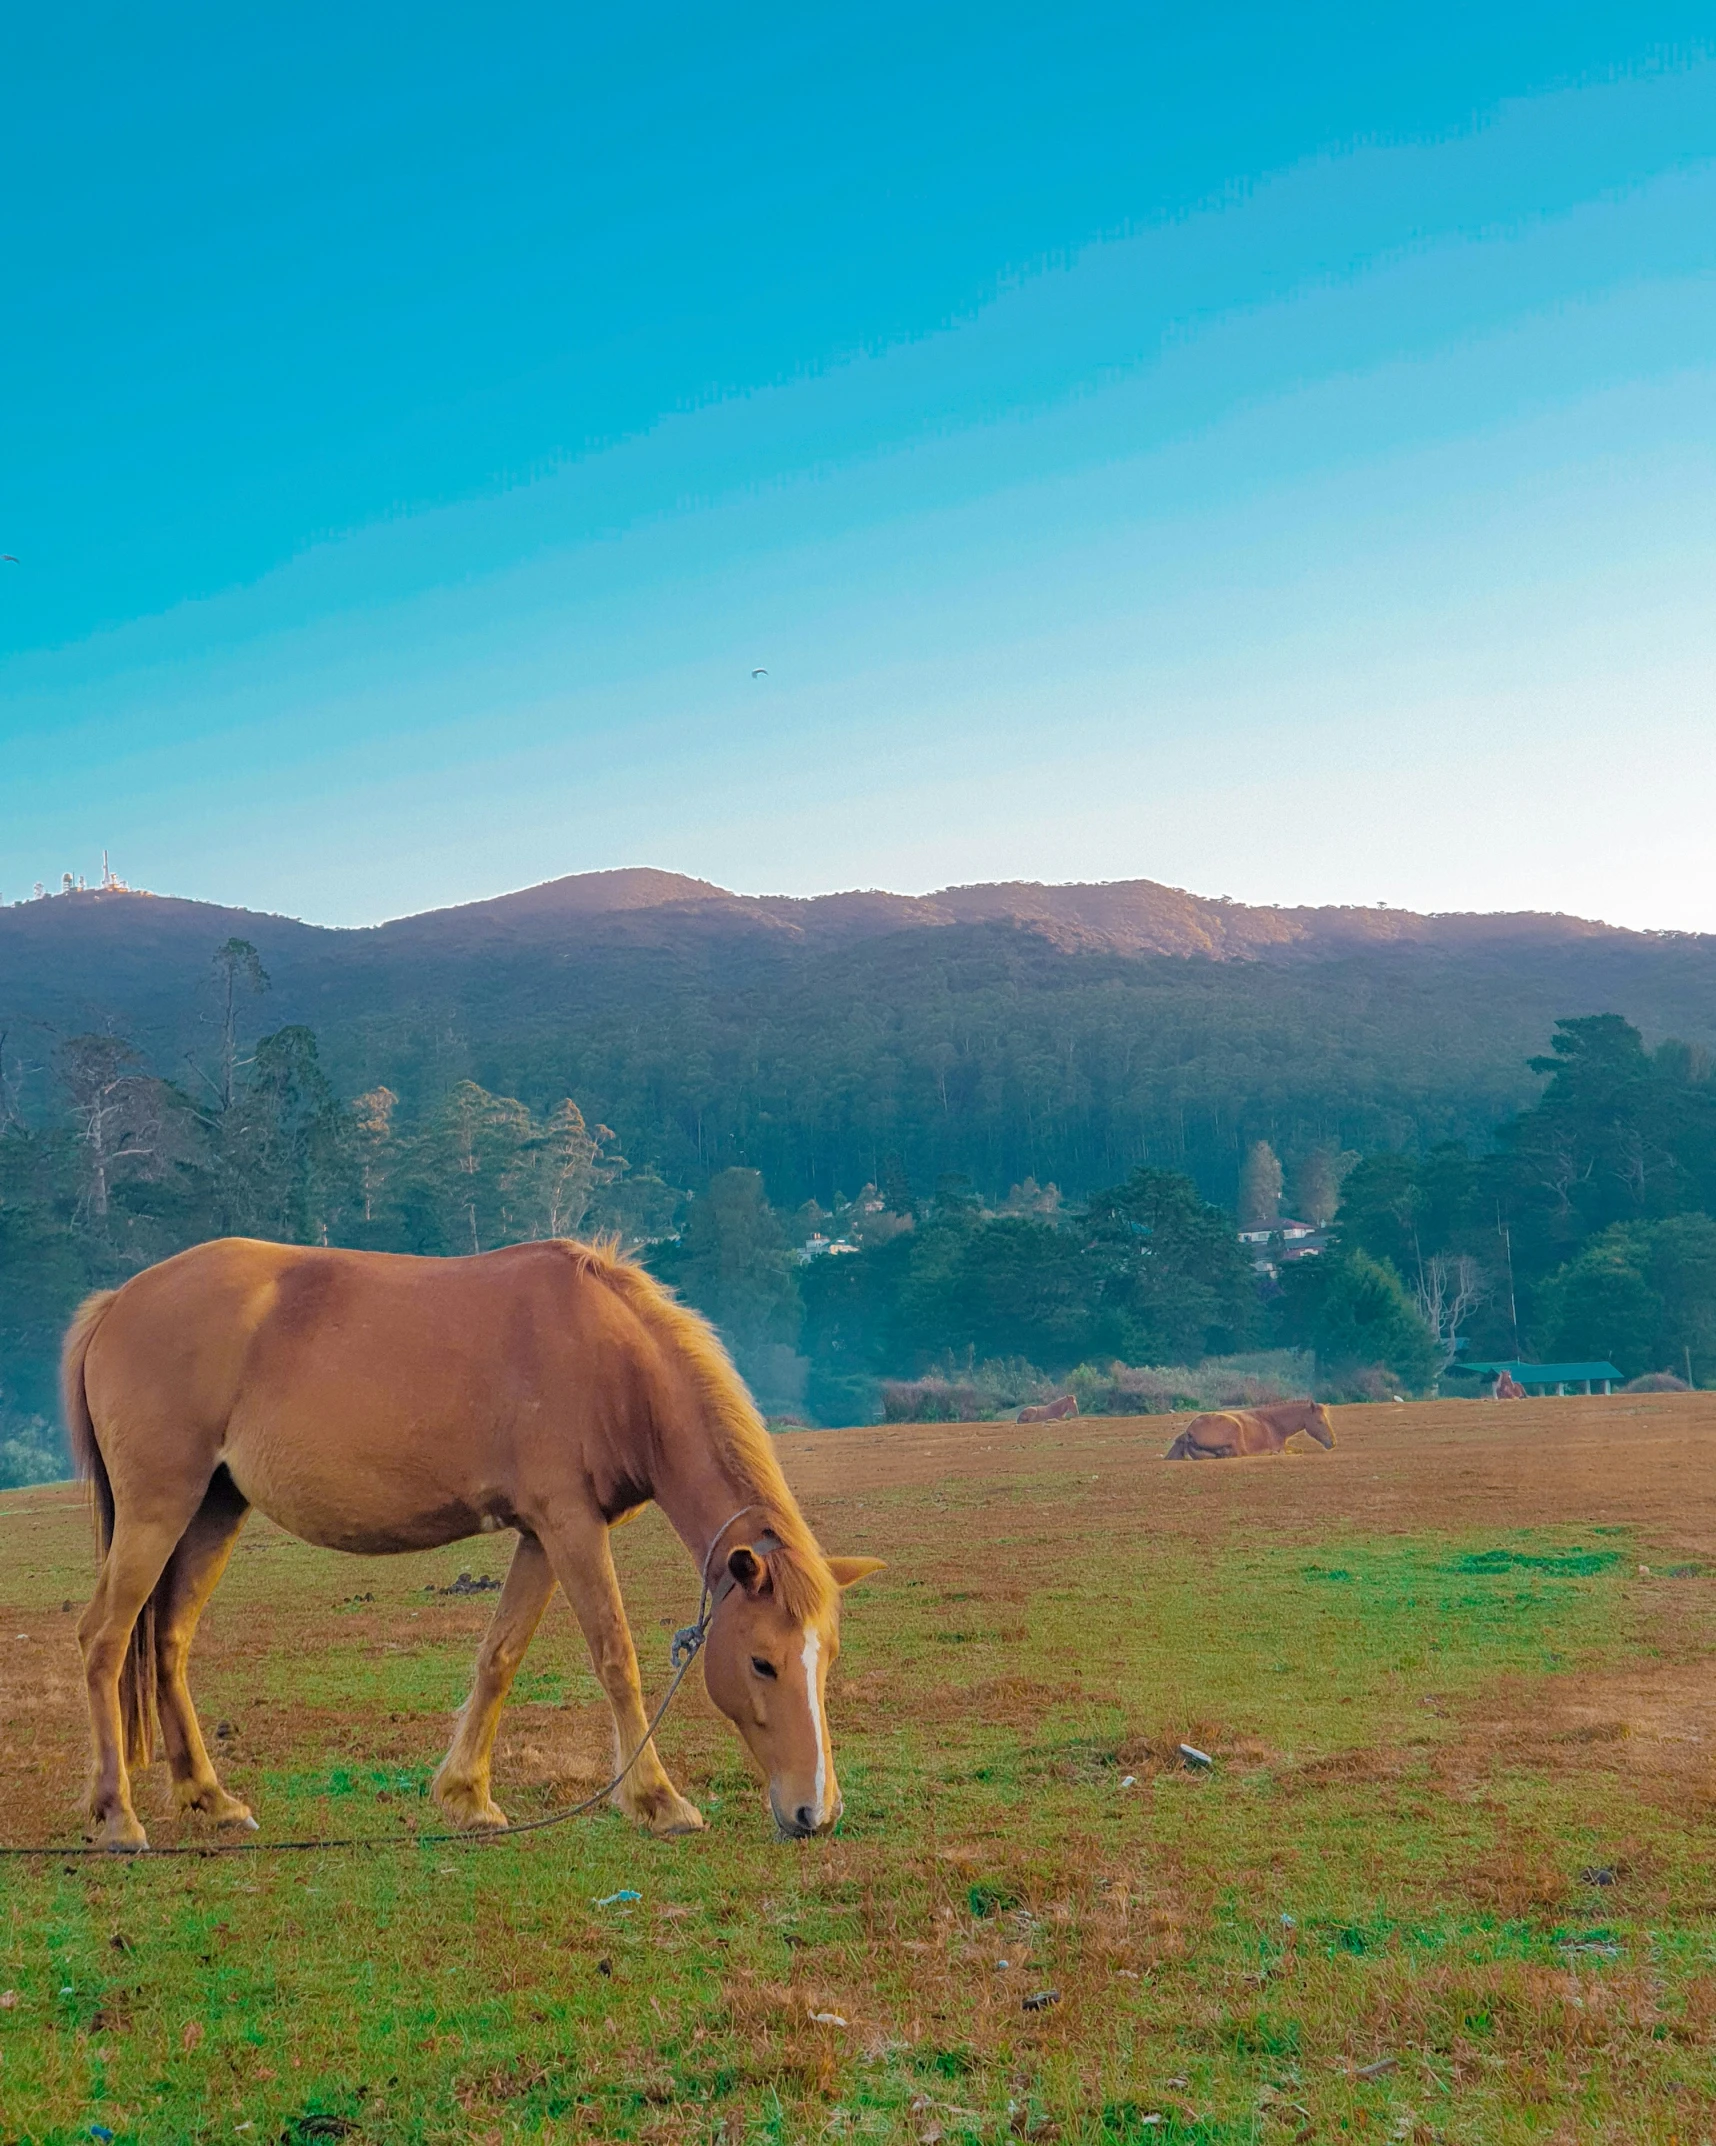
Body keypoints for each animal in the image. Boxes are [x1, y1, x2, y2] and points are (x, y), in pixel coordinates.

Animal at [60, 1236, 883, 1854]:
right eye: (761, 1662)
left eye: (827, 1660)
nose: (815, 1812)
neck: (612, 1361)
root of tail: (117, 1303)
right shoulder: (569, 1526)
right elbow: (615, 1657)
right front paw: (657, 1800)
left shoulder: (543, 1536)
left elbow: (500, 1658)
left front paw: (466, 1796)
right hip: (158, 1511)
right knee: (104, 1638)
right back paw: (117, 1815)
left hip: (211, 1512)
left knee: (167, 1642)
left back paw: (210, 1797)